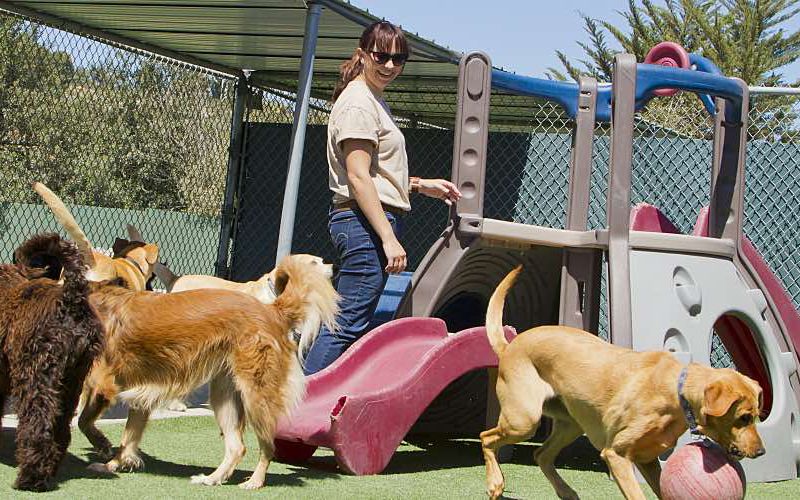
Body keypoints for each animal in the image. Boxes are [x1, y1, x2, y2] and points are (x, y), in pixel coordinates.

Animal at [0, 234, 104, 492]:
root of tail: (71, 299)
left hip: (36, 377)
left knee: (38, 427)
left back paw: (30, 478)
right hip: (72, 381)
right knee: (61, 430)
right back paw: (50, 471)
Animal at [478, 270, 764, 500]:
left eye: (756, 416)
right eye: (743, 417)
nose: (761, 451)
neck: (675, 391)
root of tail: (509, 347)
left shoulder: (648, 460)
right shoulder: (617, 455)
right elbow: (637, 495)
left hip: (570, 423)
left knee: (542, 455)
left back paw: (566, 492)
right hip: (524, 420)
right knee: (487, 438)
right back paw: (495, 483)